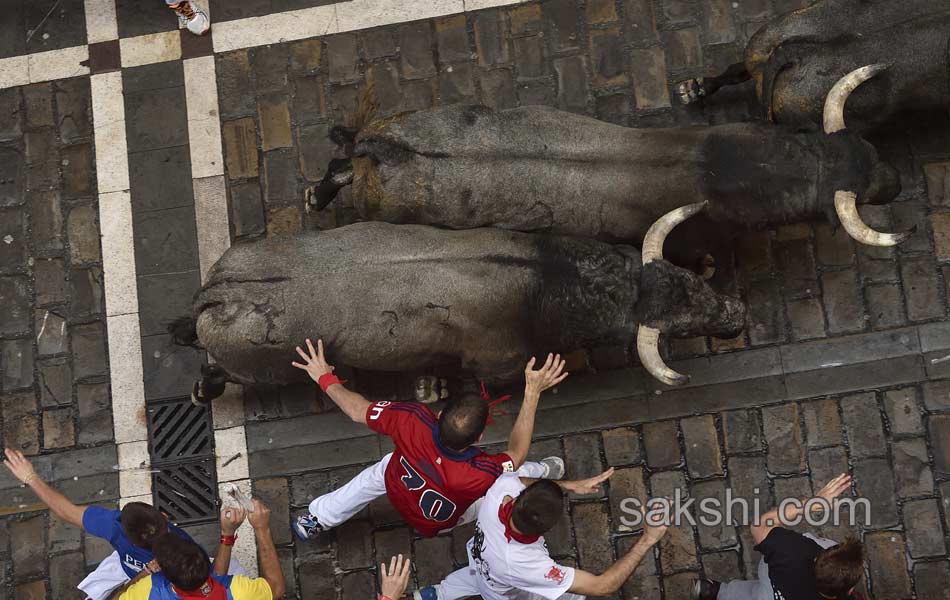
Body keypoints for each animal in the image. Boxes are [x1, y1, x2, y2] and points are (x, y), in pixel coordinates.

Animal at [171, 206, 748, 398]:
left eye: (688, 278)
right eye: (676, 329)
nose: (737, 317)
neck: (543, 280)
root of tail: (214, 293)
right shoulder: (496, 364)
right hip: (260, 369)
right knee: (221, 373)